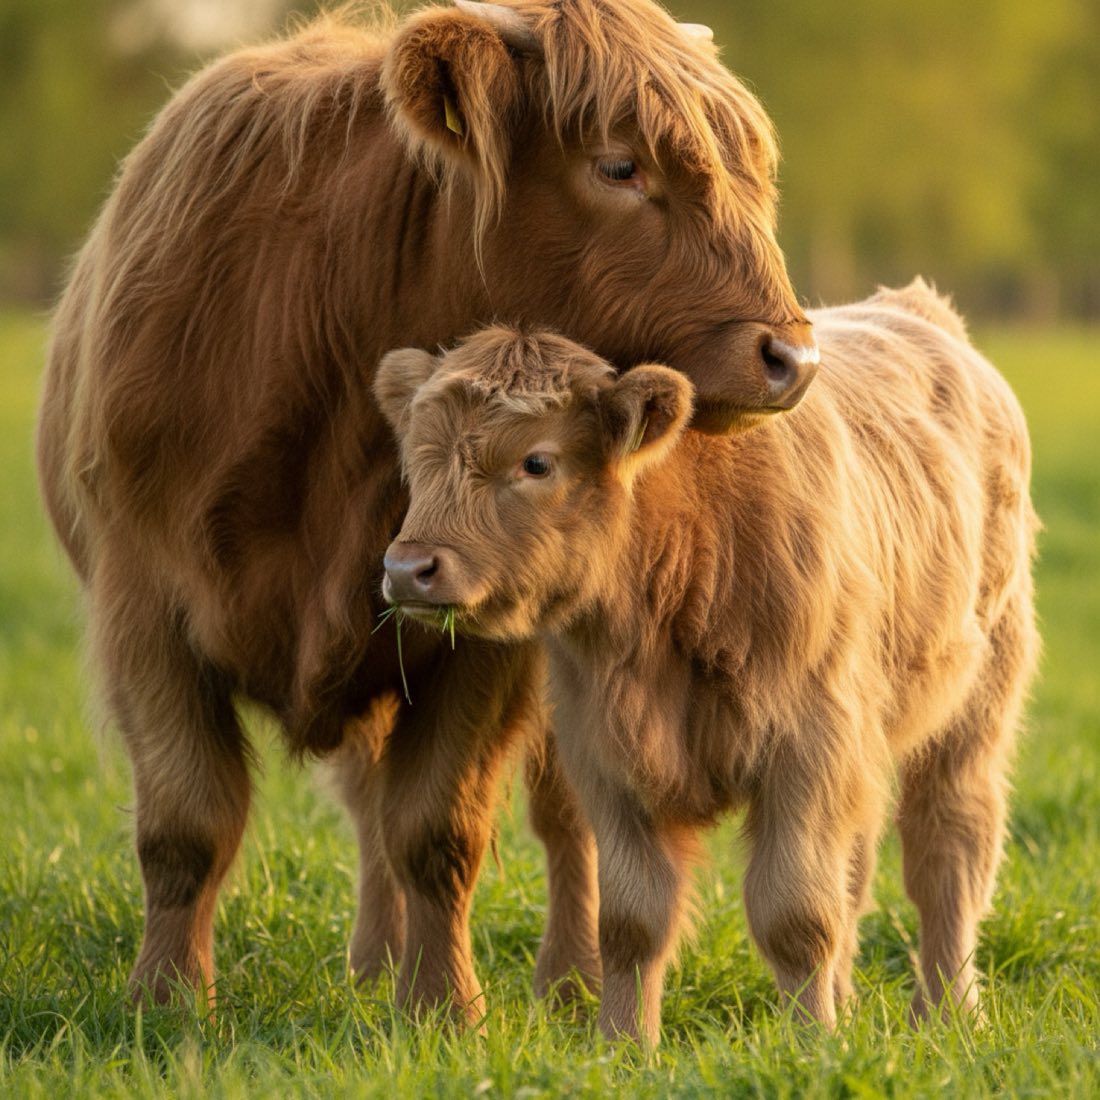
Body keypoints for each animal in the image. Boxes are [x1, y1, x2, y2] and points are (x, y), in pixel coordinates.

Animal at [36, 0, 820, 1025]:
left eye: (752, 166)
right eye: (619, 165)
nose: (793, 357)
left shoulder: (480, 636)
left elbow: (436, 827)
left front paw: (443, 1009)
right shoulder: (143, 605)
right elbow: (186, 822)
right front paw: (165, 1005)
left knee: (562, 817)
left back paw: (569, 984)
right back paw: (373, 964)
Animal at [376, 283, 1039, 1044]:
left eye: (537, 462)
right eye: (417, 459)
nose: (408, 568)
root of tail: (918, 310)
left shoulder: (807, 748)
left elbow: (796, 915)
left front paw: (812, 1043)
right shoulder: (608, 756)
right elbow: (632, 920)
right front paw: (623, 1045)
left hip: (976, 707)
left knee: (949, 852)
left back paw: (948, 1012)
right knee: (859, 868)